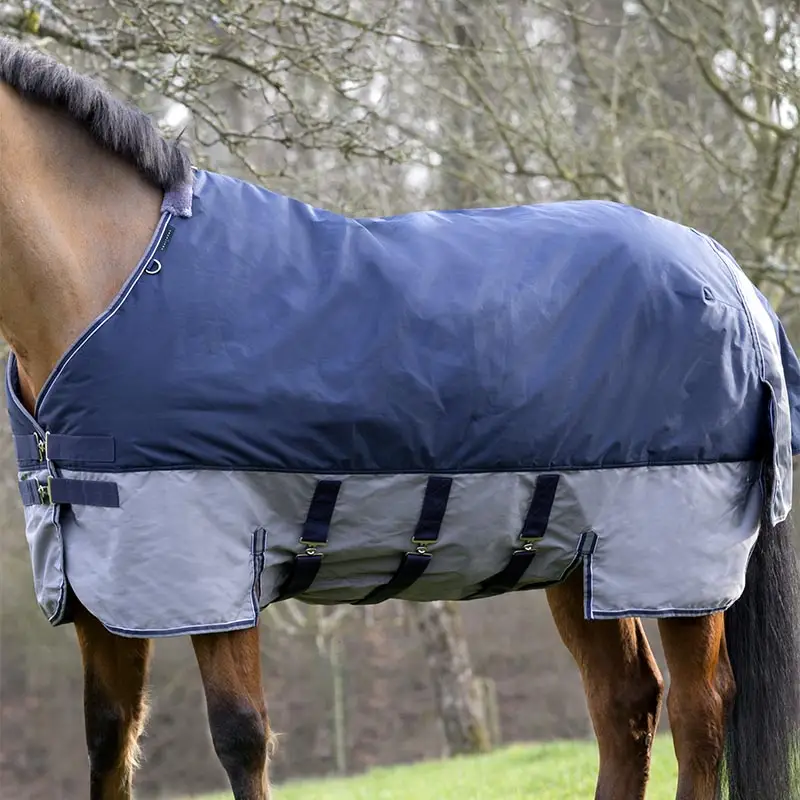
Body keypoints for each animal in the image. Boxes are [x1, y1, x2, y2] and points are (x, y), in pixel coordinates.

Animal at [1, 37, 799, 800]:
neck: (118, 279)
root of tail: (733, 280)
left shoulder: (213, 565)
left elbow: (239, 738)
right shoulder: (101, 583)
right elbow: (109, 741)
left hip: (677, 562)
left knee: (700, 710)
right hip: (584, 557)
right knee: (625, 702)